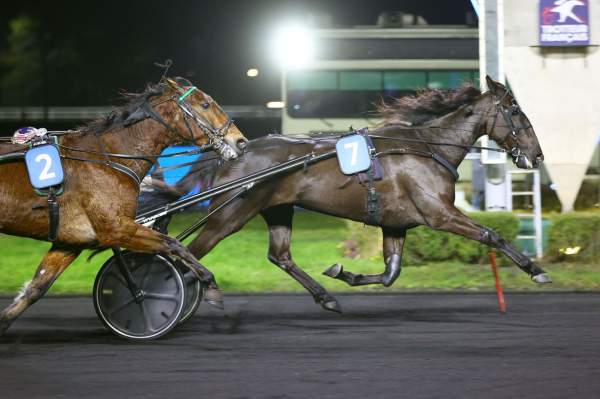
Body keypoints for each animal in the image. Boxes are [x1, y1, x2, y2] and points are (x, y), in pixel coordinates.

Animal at [0, 76, 246, 336]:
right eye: (205, 104)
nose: (240, 141)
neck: (107, 159)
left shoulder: (70, 242)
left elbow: (37, 287)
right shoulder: (117, 228)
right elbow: (173, 244)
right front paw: (208, 284)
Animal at [150, 75, 548, 312]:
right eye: (515, 111)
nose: (537, 155)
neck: (426, 147)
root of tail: (234, 151)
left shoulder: (397, 223)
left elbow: (390, 273)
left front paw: (344, 273)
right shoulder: (439, 213)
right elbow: (491, 234)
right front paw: (535, 269)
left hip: (277, 209)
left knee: (279, 255)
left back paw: (325, 297)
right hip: (228, 216)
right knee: (187, 252)